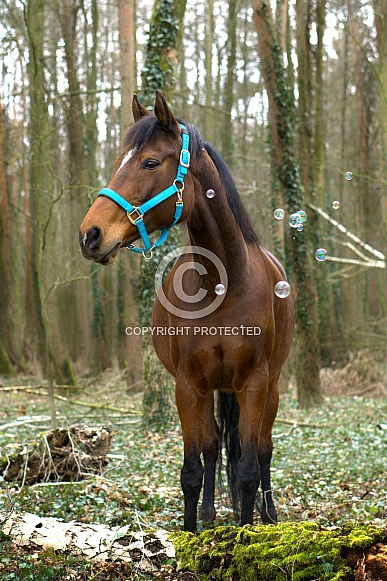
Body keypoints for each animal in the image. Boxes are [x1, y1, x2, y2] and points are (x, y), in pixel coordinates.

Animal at [80, 90, 296, 532]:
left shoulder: (254, 383)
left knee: (262, 451)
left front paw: (249, 533)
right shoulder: (188, 385)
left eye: (149, 162)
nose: (90, 235)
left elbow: (247, 469)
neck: (223, 284)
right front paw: (191, 530)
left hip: (272, 388)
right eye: (119, 161)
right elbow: (193, 470)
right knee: (213, 446)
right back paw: (212, 515)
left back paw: (268, 514)